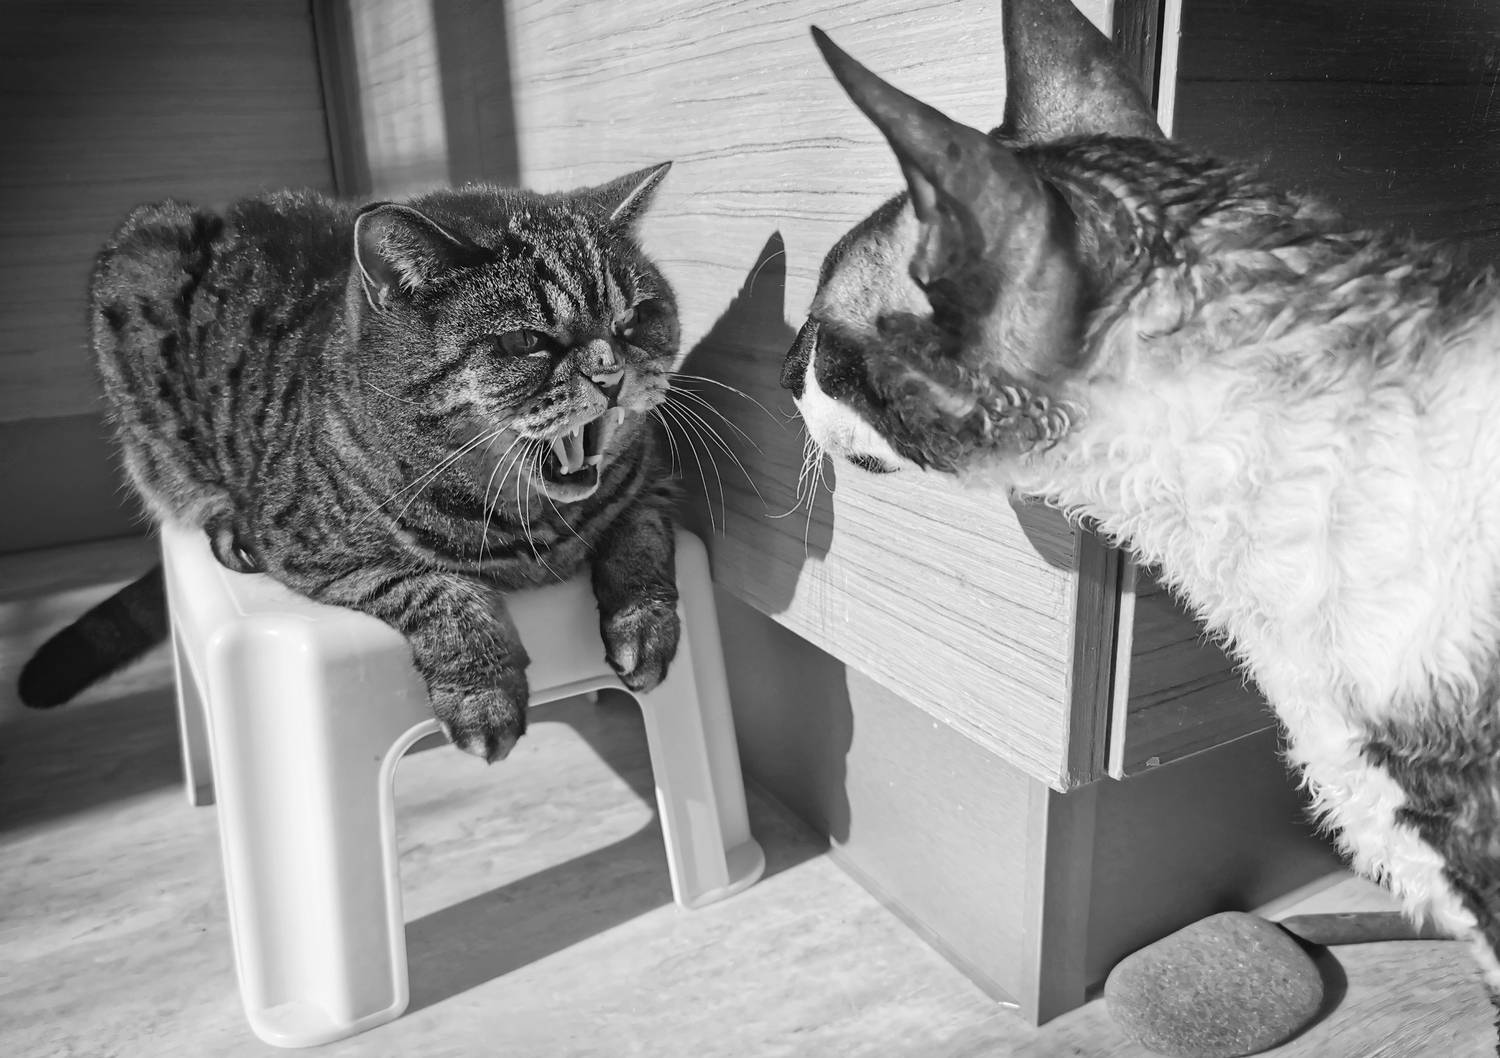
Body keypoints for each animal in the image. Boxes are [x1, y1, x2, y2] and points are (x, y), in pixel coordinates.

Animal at [20, 166, 686, 763]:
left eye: (635, 319)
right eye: (526, 342)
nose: (611, 375)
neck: (540, 528)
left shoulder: (654, 483)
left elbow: (641, 533)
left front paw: (644, 623)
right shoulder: (309, 549)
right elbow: (434, 587)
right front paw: (481, 691)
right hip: (143, 257)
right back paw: (225, 525)